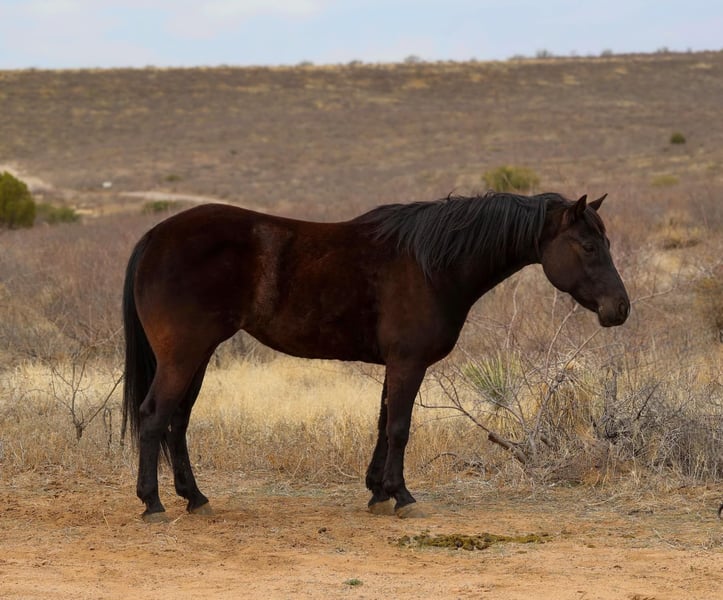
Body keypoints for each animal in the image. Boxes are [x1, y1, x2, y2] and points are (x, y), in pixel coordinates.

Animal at [122, 191, 630, 522]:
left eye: (607, 243)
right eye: (588, 246)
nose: (620, 309)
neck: (432, 265)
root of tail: (154, 237)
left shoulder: (395, 364)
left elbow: (384, 423)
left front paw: (376, 492)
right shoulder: (408, 362)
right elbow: (400, 427)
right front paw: (401, 495)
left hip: (198, 356)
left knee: (177, 421)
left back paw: (195, 498)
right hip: (183, 356)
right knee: (154, 416)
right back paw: (153, 503)